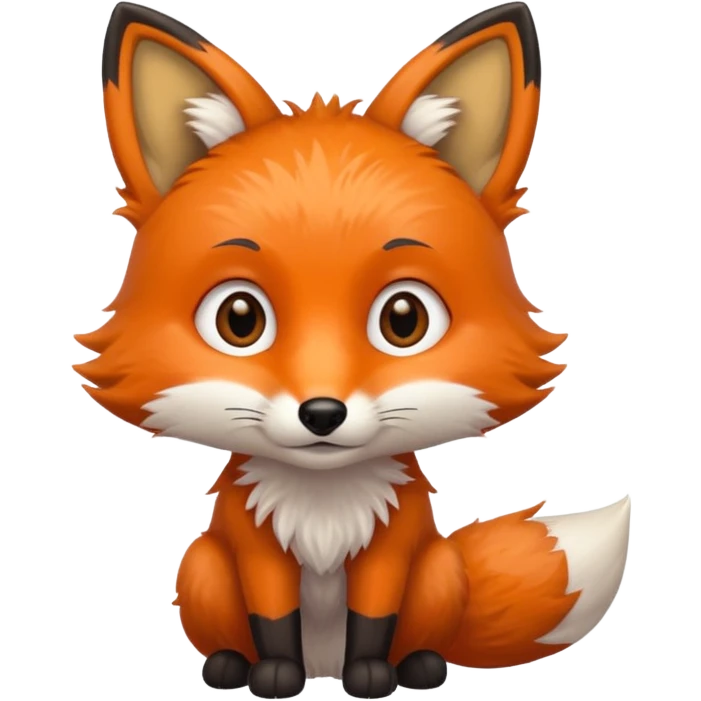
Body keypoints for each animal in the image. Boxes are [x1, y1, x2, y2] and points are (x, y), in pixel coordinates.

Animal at [76, 1, 631, 698]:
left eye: (404, 319)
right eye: (239, 319)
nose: (322, 414)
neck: (324, 504)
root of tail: (324, 664)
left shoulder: (391, 547)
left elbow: (374, 618)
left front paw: (371, 675)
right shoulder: (256, 547)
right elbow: (272, 618)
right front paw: (275, 675)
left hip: (439, 571)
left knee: (422, 631)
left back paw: (418, 665)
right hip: (201, 567)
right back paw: (230, 665)